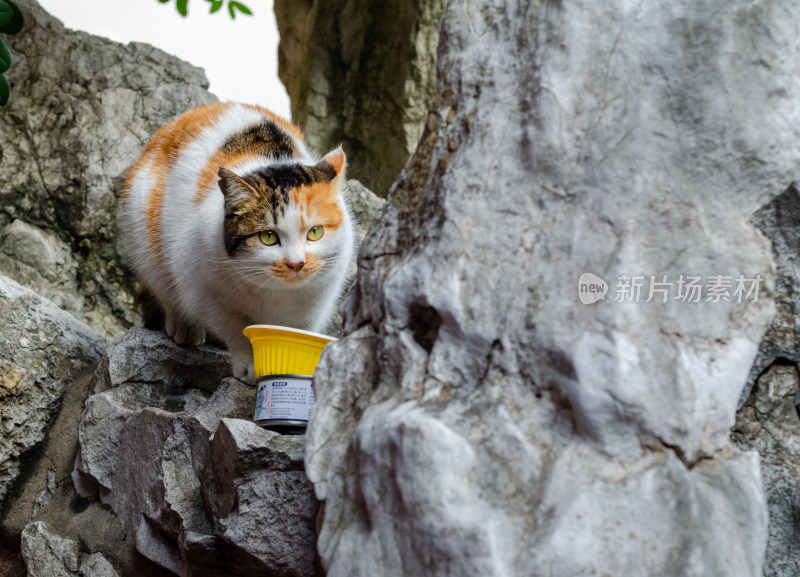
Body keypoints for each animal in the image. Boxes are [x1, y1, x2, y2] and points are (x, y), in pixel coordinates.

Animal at [119, 102, 354, 382]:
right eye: (268, 237)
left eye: (315, 232)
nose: (297, 264)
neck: (281, 296)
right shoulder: (209, 292)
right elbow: (238, 332)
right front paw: (251, 367)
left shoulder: (315, 307)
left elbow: (298, 338)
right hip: (143, 233)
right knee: (165, 288)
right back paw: (184, 327)